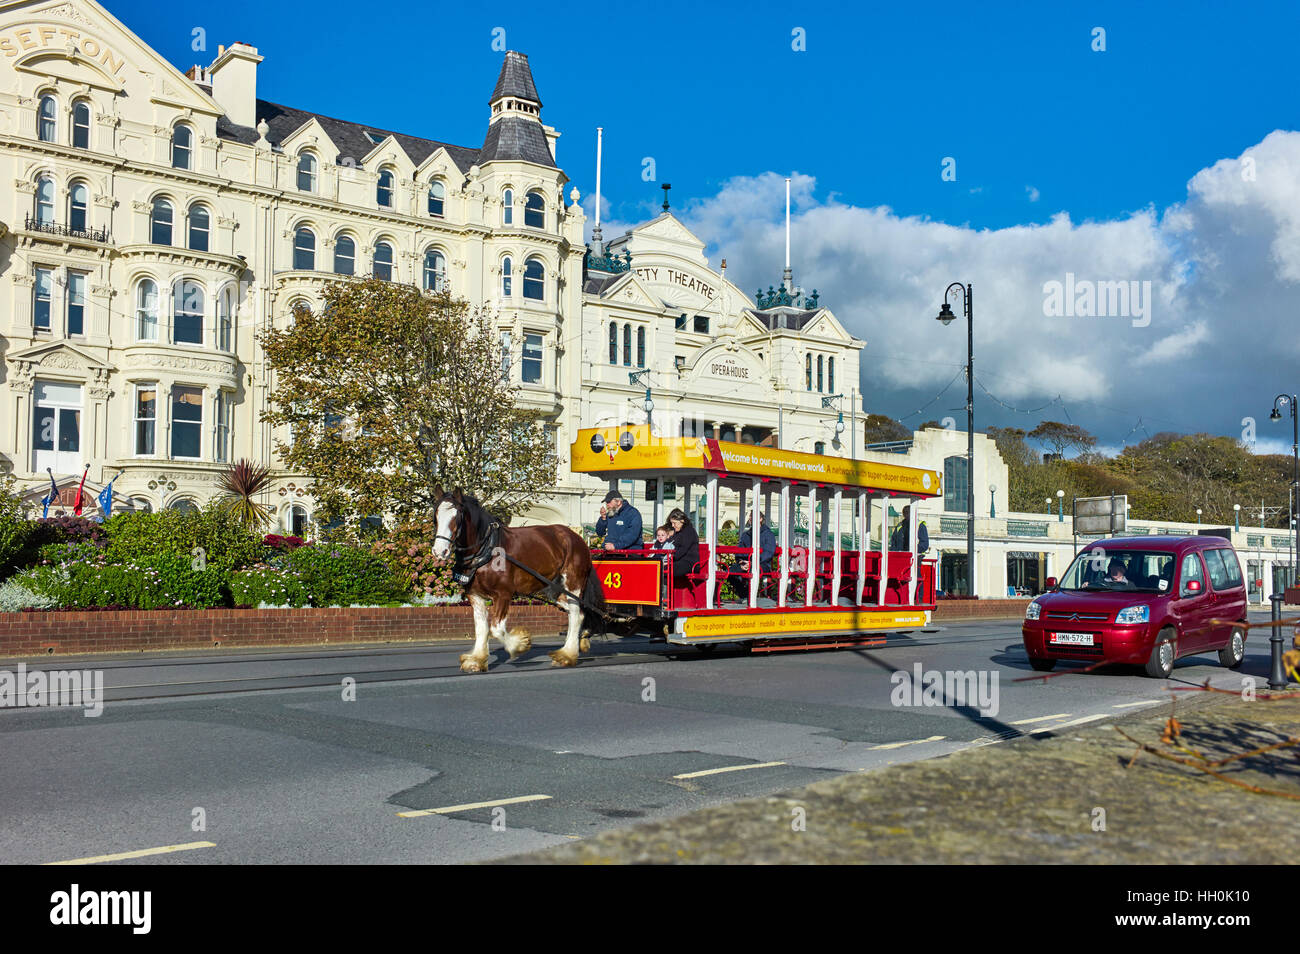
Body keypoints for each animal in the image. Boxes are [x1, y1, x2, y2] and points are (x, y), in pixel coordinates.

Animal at [430, 487, 606, 673]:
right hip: (554, 587)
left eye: (457, 516)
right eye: (435, 515)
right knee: (573, 609)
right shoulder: (475, 596)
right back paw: (580, 639)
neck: (487, 550)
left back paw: (567, 654)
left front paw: (520, 644)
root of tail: (576, 538)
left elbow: (496, 629)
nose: (439, 551)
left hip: (573, 582)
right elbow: (482, 628)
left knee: (576, 614)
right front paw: (476, 660)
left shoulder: (503, 594)